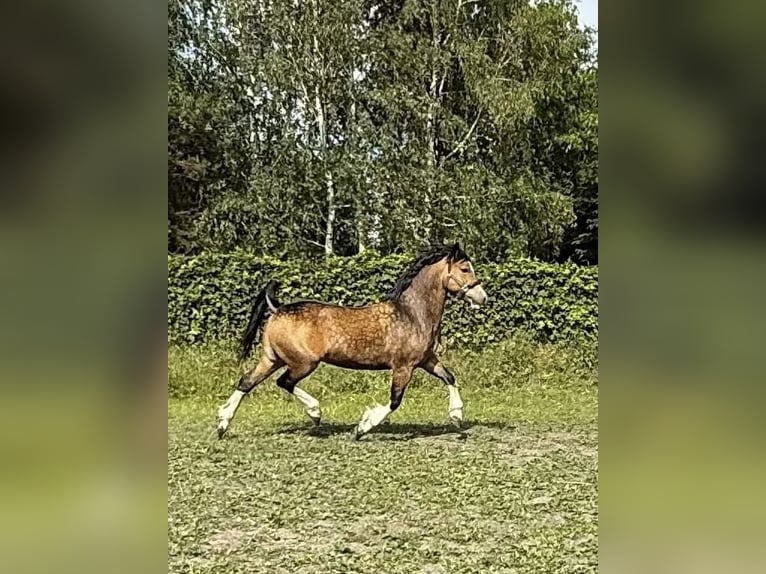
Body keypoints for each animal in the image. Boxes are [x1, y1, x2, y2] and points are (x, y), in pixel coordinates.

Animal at [216, 243, 488, 440]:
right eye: (465, 269)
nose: (482, 297)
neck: (412, 314)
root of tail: (278, 308)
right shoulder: (403, 366)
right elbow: (395, 400)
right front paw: (362, 428)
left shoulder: (427, 360)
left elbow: (449, 377)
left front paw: (456, 416)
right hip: (303, 363)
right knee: (284, 382)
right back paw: (315, 413)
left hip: (272, 358)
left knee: (246, 382)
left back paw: (222, 424)